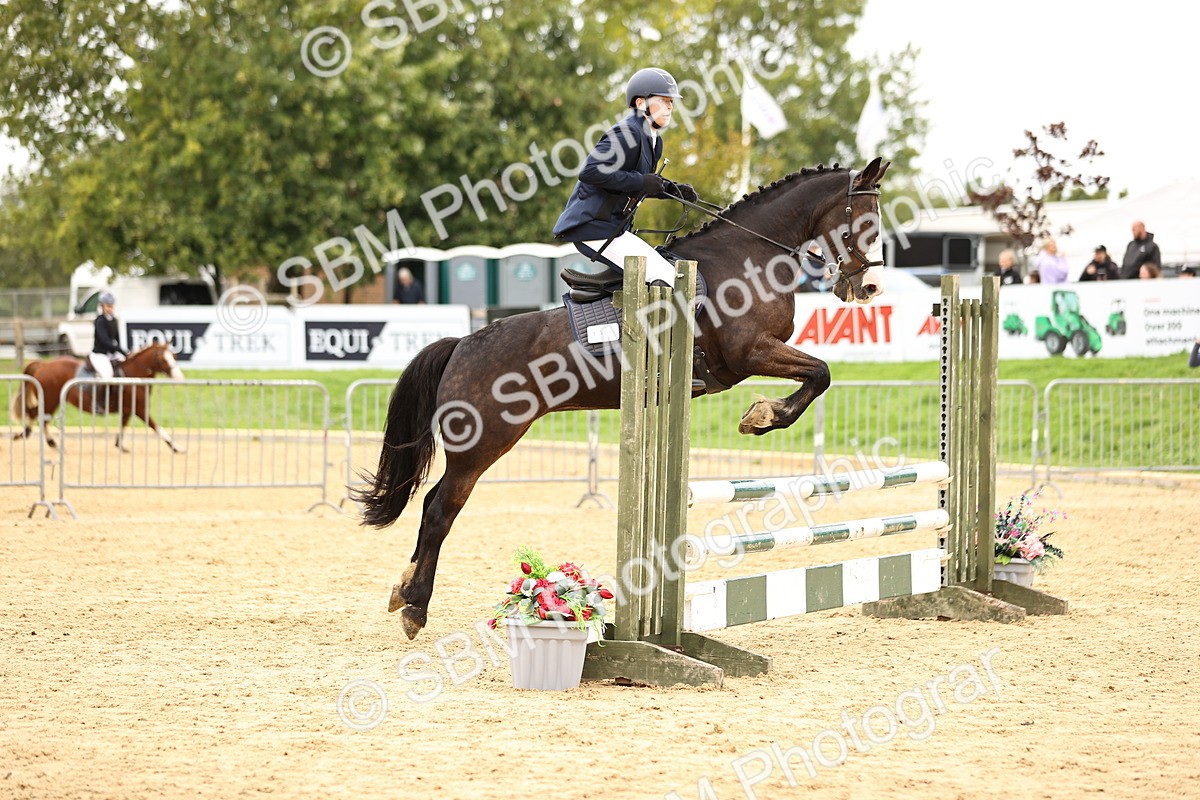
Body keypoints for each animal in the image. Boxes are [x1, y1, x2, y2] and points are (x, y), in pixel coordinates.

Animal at [11, 342, 186, 452]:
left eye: (174, 357)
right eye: (163, 359)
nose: (180, 378)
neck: (134, 374)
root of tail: (43, 364)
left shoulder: (128, 410)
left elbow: (123, 426)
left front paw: (120, 446)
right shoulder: (140, 410)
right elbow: (157, 428)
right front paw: (176, 447)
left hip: (51, 400)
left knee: (38, 416)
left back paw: (38, 438)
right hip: (50, 399)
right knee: (37, 415)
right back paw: (35, 438)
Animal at [355, 158, 892, 639]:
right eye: (863, 221)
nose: (870, 287)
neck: (747, 256)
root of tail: (462, 343)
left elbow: (818, 375)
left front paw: (761, 415)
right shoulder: (750, 352)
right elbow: (820, 374)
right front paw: (762, 416)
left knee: (433, 506)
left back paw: (403, 590)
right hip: (484, 443)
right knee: (439, 511)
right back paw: (415, 606)